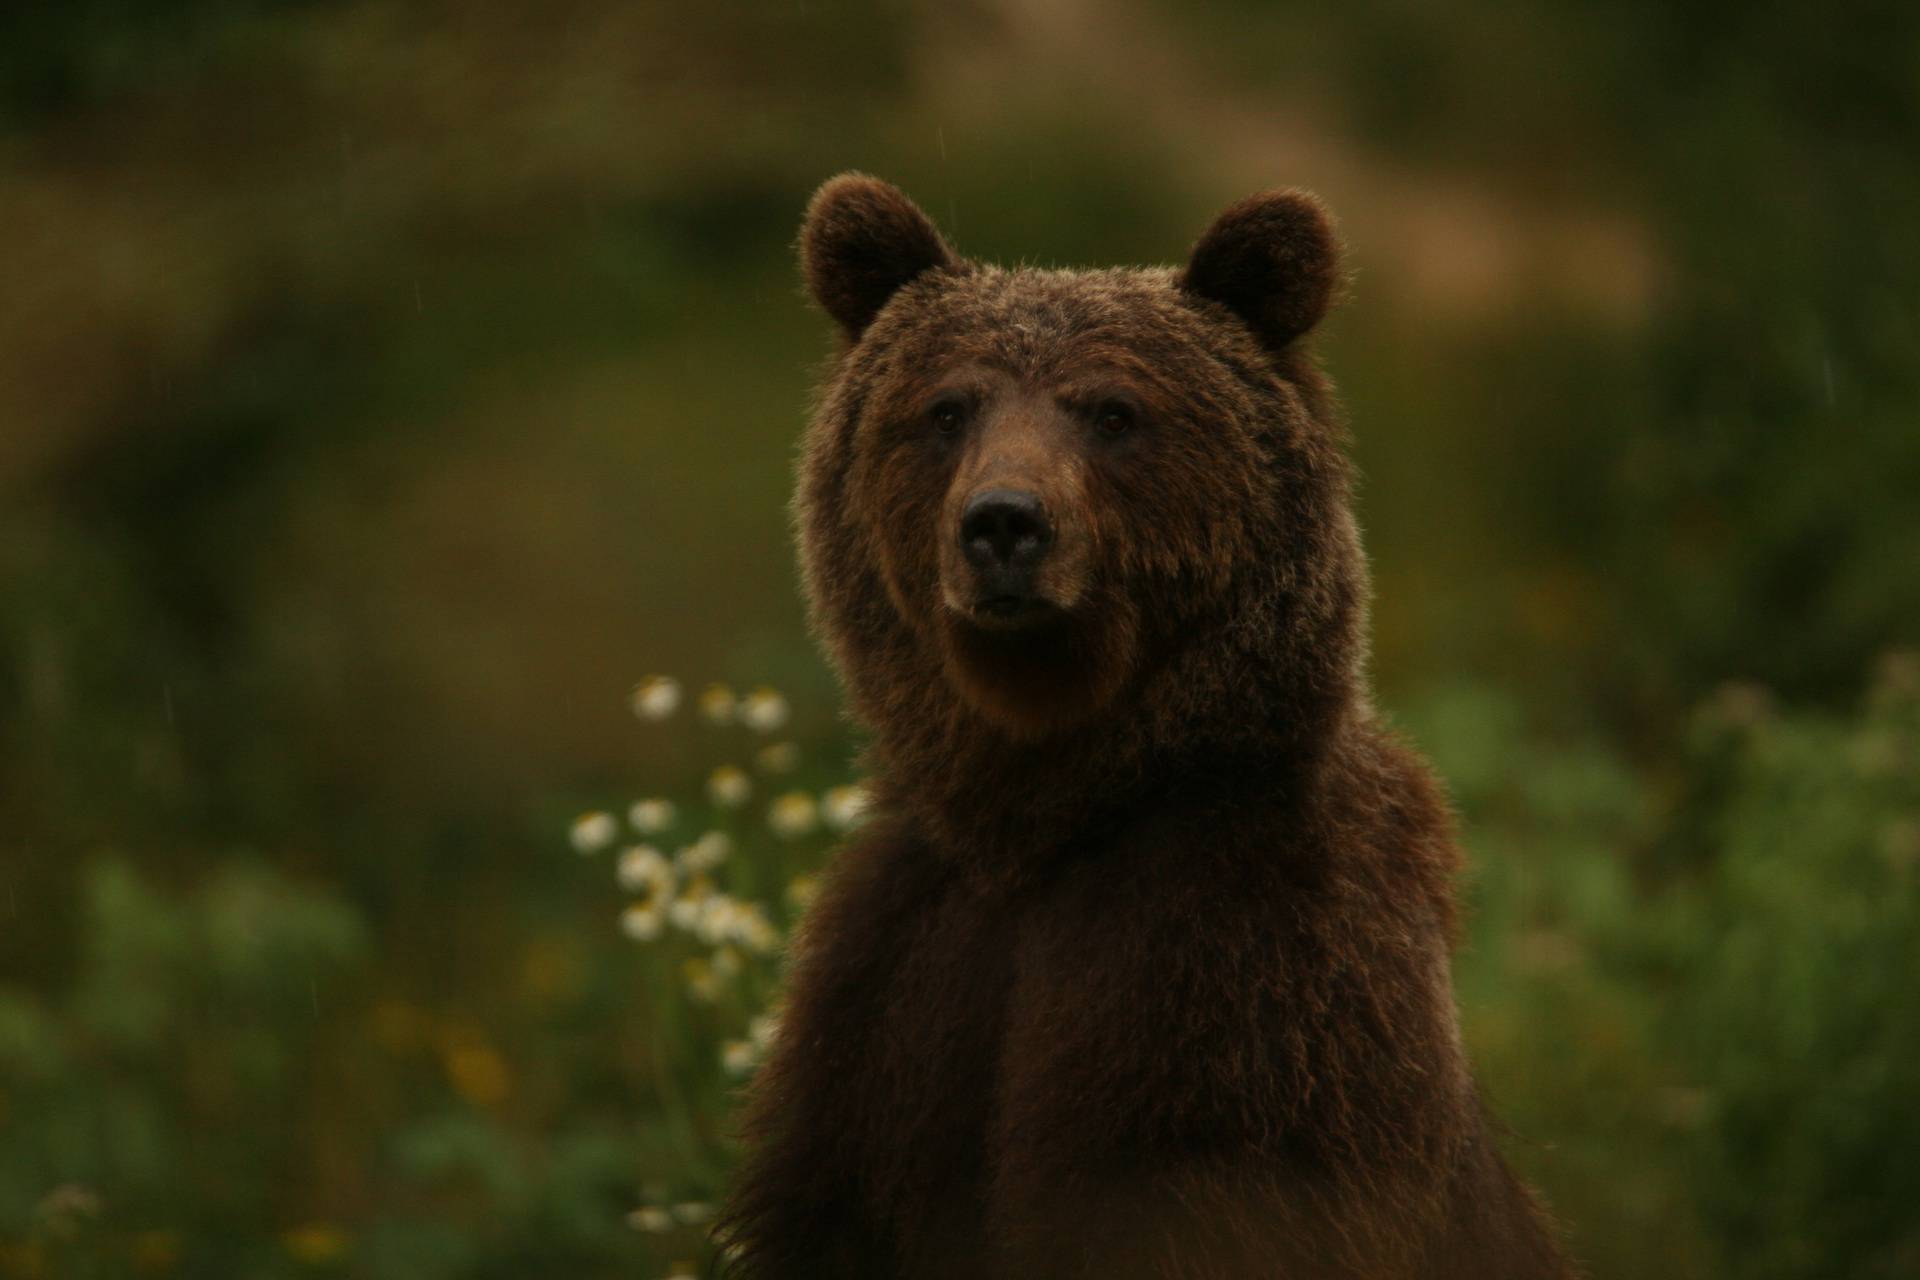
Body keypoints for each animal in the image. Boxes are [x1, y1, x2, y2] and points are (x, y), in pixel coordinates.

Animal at [721, 172, 1574, 1280]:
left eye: (1113, 411)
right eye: (947, 407)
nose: (1003, 523)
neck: (1048, 816)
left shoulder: (1247, 992)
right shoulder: (889, 993)